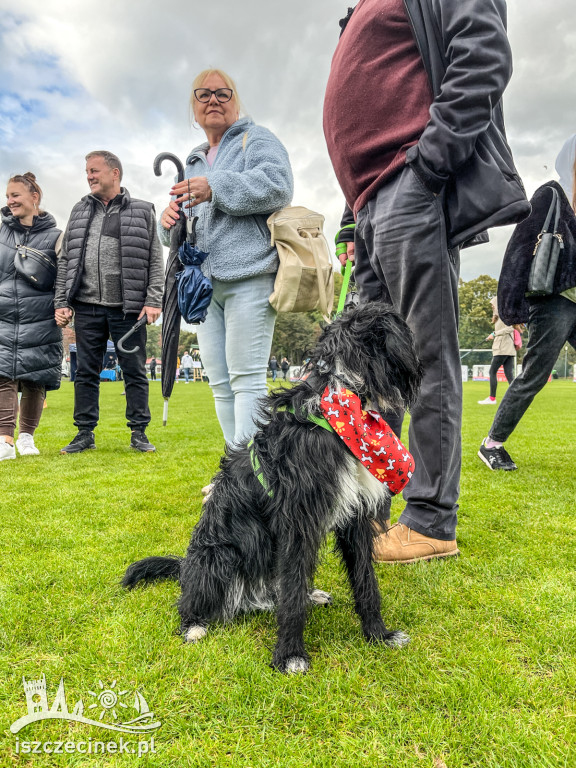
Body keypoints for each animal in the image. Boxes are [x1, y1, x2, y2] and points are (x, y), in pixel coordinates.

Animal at [125, 304, 424, 676]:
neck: (339, 409)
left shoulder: (354, 518)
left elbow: (365, 580)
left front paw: (378, 634)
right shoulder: (297, 524)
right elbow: (293, 594)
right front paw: (290, 654)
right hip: (219, 556)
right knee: (193, 601)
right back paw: (193, 625)